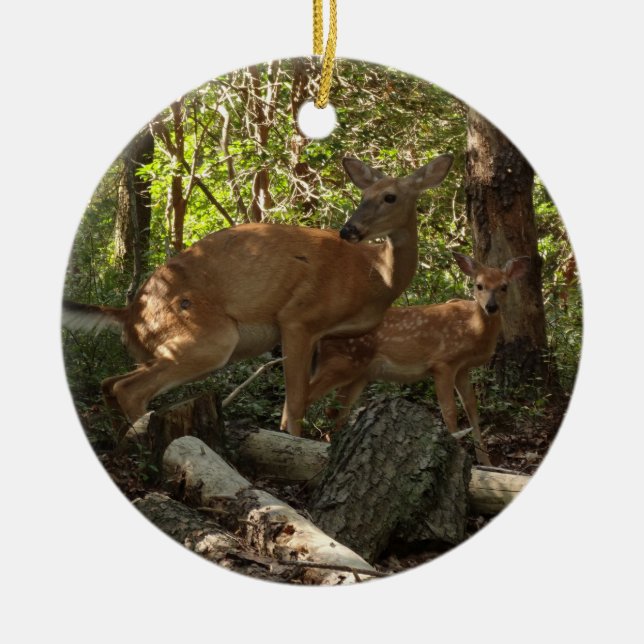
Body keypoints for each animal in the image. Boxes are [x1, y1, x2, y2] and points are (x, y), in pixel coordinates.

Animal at [62, 154, 453, 446]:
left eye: (390, 197)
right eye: (363, 196)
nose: (349, 230)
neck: (375, 275)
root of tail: (129, 313)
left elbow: (300, 400)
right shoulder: (299, 317)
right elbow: (296, 400)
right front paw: (296, 446)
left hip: (156, 349)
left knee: (109, 382)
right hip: (210, 337)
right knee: (129, 389)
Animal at [290, 252, 530, 465]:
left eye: (504, 286)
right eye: (479, 285)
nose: (491, 307)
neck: (473, 328)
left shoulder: (463, 368)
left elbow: (472, 408)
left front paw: (486, 463)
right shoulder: (443, 362)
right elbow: (449, 411)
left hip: (359, 373)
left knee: (336, 410)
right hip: (341, 363)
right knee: (300, 398)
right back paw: (294, 442)